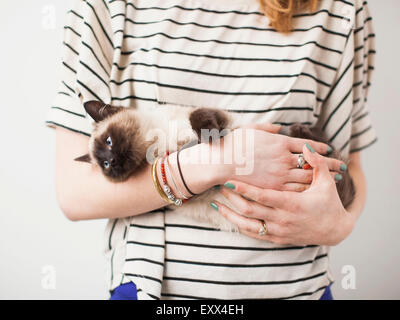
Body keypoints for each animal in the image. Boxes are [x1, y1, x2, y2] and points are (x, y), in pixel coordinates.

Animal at [76, 100, 356, 230]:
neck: (158, 146)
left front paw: (208, 136)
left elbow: (199, 117)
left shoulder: (224, 119)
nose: (112, 162)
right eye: (104, 164)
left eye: (109, 141)